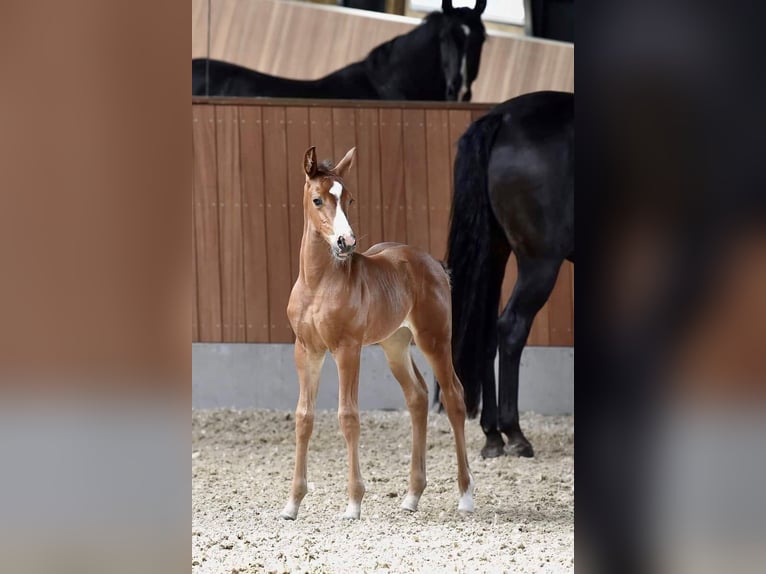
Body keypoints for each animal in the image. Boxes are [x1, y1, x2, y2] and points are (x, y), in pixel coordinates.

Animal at [282, 147, 474, 520]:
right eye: (317, 199)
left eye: (350, 199)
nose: (346, 242)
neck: (318, 283)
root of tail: (433, 263)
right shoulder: (307, 350)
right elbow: (303, 417)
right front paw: (292, 503)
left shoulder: (347, 349)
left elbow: (348, 416)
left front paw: (353, 503)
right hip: (394, 345)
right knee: (417, 396)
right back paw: (412, 496)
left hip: (434, 340)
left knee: (454, 397)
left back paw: (466, 496)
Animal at [444, 92, 576, 462]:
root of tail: (501, 117)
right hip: (539, 264)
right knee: (511, 327)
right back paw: (514, 433)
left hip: (495, 251)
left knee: (488, 331)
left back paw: (493, 436)